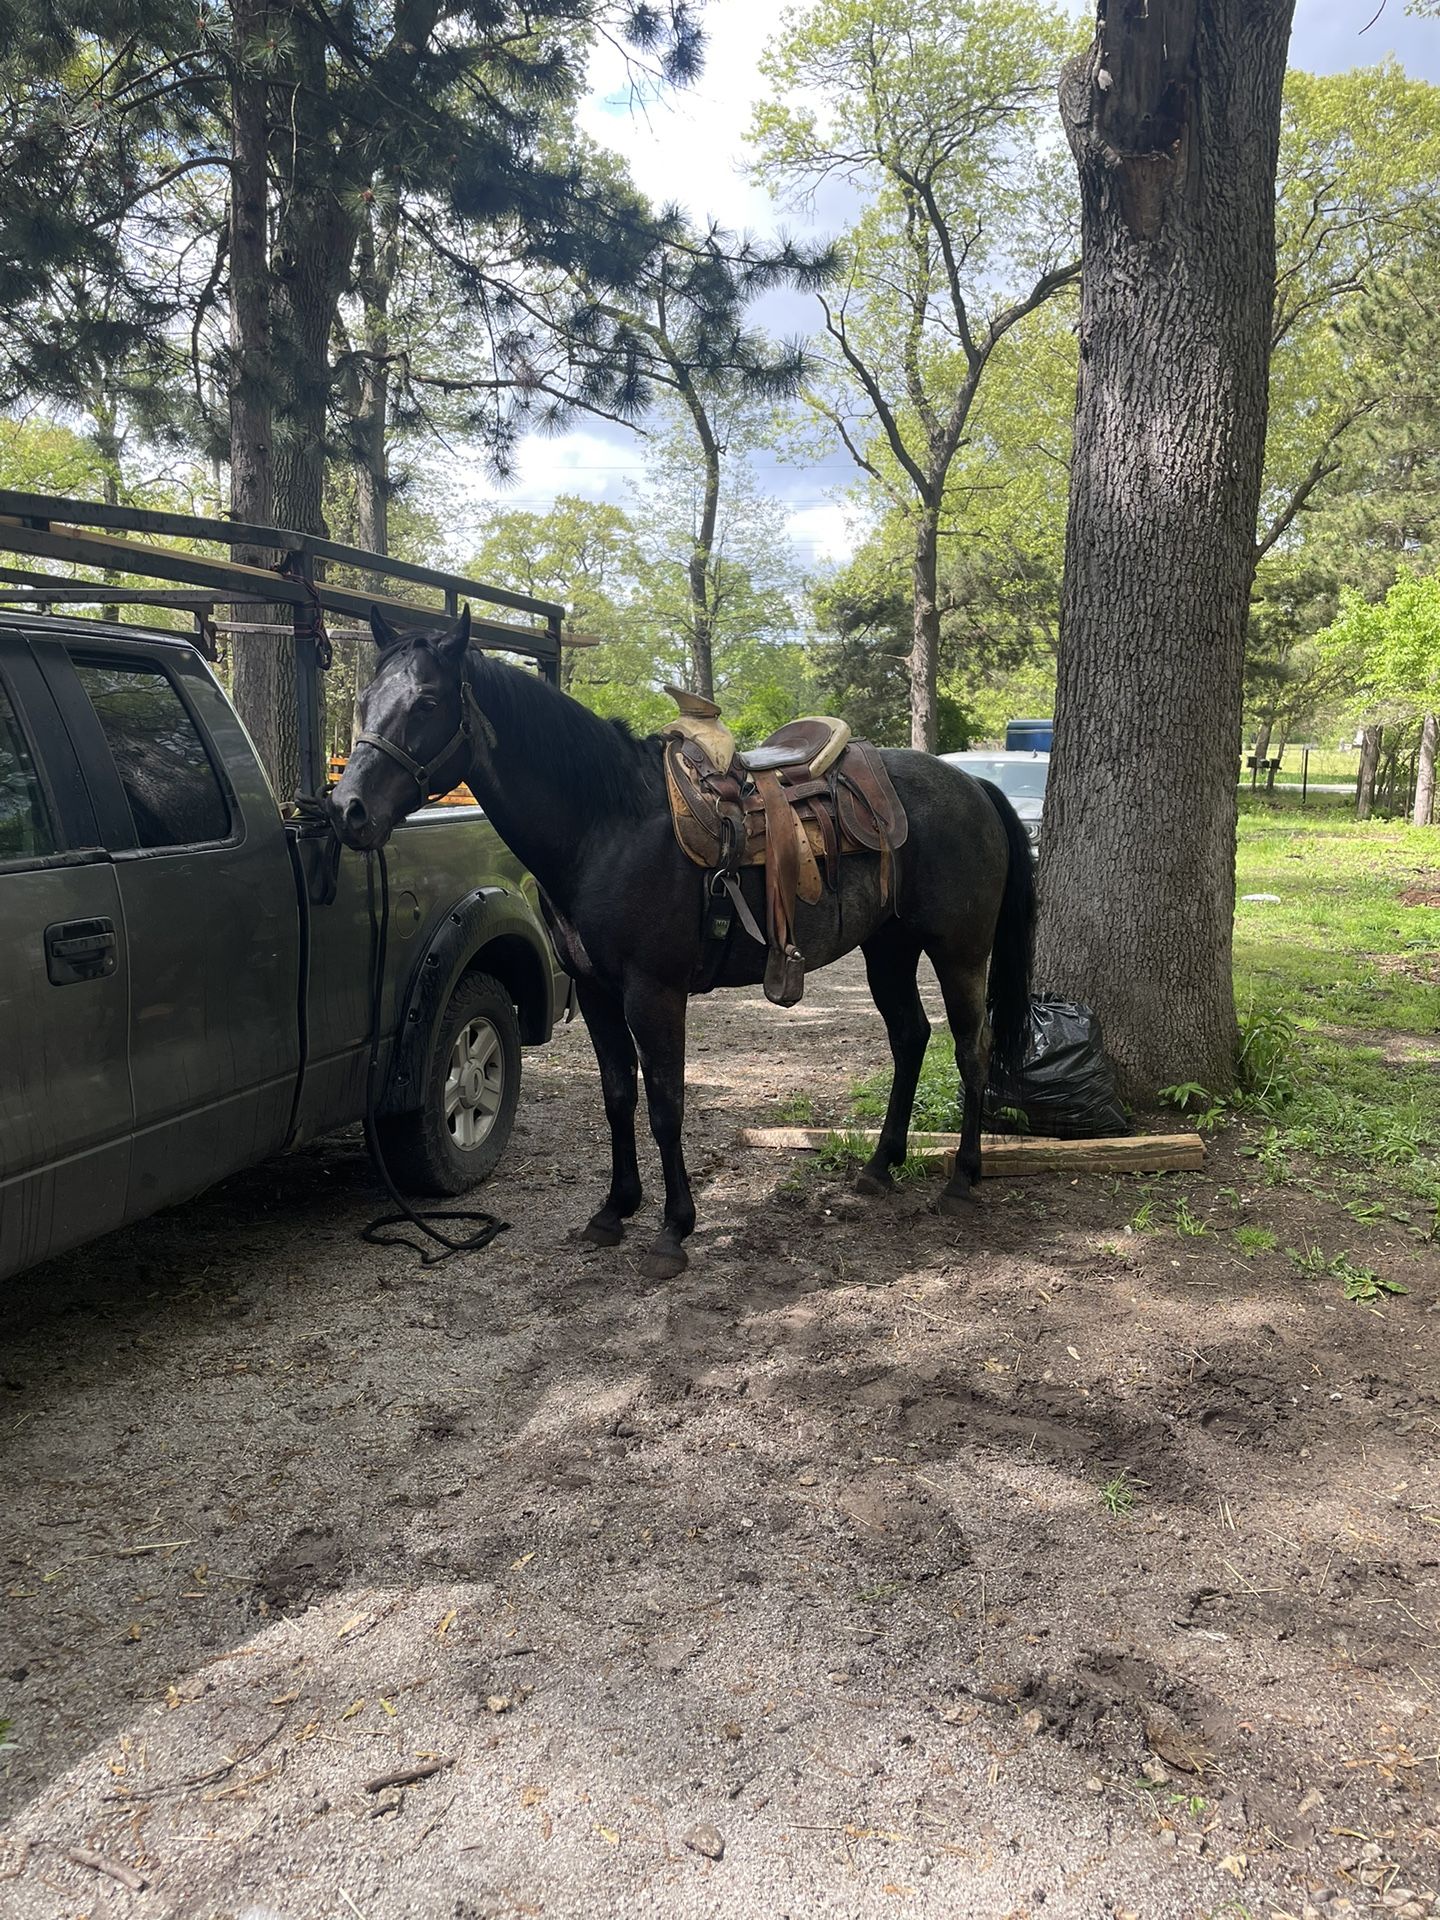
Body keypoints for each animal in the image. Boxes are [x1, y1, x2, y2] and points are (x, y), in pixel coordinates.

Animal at [332, 606, 1036, 1282]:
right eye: (365, 700)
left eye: (427, 701)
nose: (348, 809)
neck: (606, 828)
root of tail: (973, 787)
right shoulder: (596, 991)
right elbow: (618, 1096)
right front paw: (614, 1210)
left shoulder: (655, 993)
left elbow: (665, 1105)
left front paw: (674, 1231)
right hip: (888, 948)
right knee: (910, 1037)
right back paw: (880, 1166)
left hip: (959, 952)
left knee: (970, 1049)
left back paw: (961, 1180)